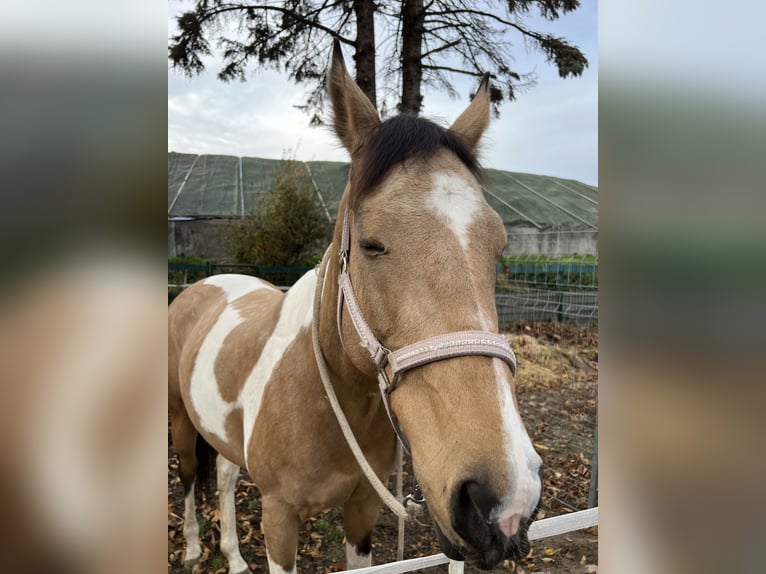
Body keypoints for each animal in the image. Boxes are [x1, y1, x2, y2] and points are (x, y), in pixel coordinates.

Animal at [168, 41, 542, 573]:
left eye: (499, 246)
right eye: (370, 244)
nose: (505, 498)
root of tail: (205, 283)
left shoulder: (363, 509)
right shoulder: (278, 520)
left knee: (220, 476)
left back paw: (234, 558)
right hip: (180, 419)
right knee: (187, 478)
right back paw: (195, 548)